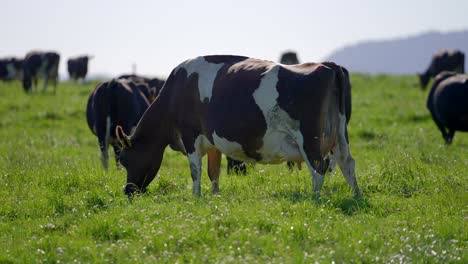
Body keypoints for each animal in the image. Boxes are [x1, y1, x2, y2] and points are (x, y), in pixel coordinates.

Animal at [116, 54, 358, 197]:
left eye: (125, 159)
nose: (127, 191)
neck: (175, 92)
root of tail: (328, 65)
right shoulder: (212, 141)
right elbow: (213, 172)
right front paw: (214, 196)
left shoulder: (190, 136)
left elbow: (195, 171)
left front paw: (196, 197)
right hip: (339, 135)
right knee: (347, 163)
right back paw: (356, 196)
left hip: (310, 140)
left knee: (319, 169)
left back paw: (315, 199)